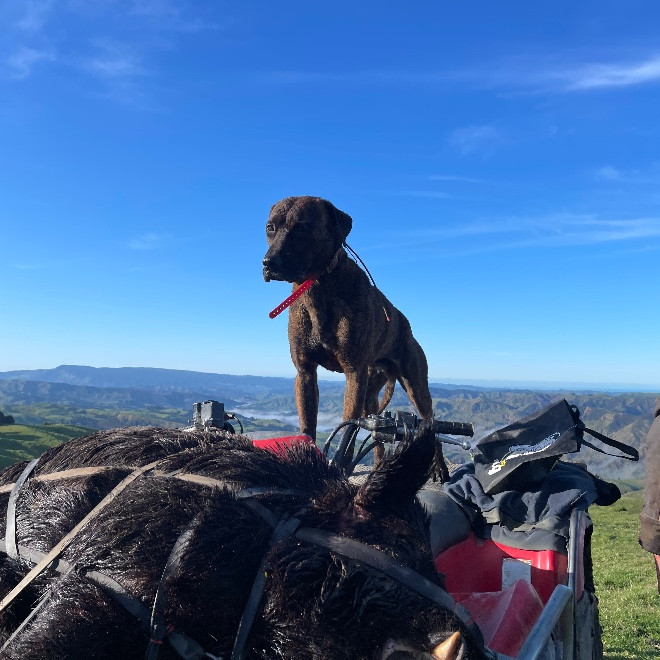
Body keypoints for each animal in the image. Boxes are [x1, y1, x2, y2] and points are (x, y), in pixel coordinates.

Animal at [263, 196, 449, 480]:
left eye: (302, 227)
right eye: (270, 227)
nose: (268, 262)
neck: (320, 287)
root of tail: (405, 324)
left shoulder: (354, 375)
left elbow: (347, 430)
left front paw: (339, 466)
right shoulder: (305, 373)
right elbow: (308, 423)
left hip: (415, 386)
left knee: (431, 425)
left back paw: (439, 466)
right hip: (370, 395)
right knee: (378, 439)